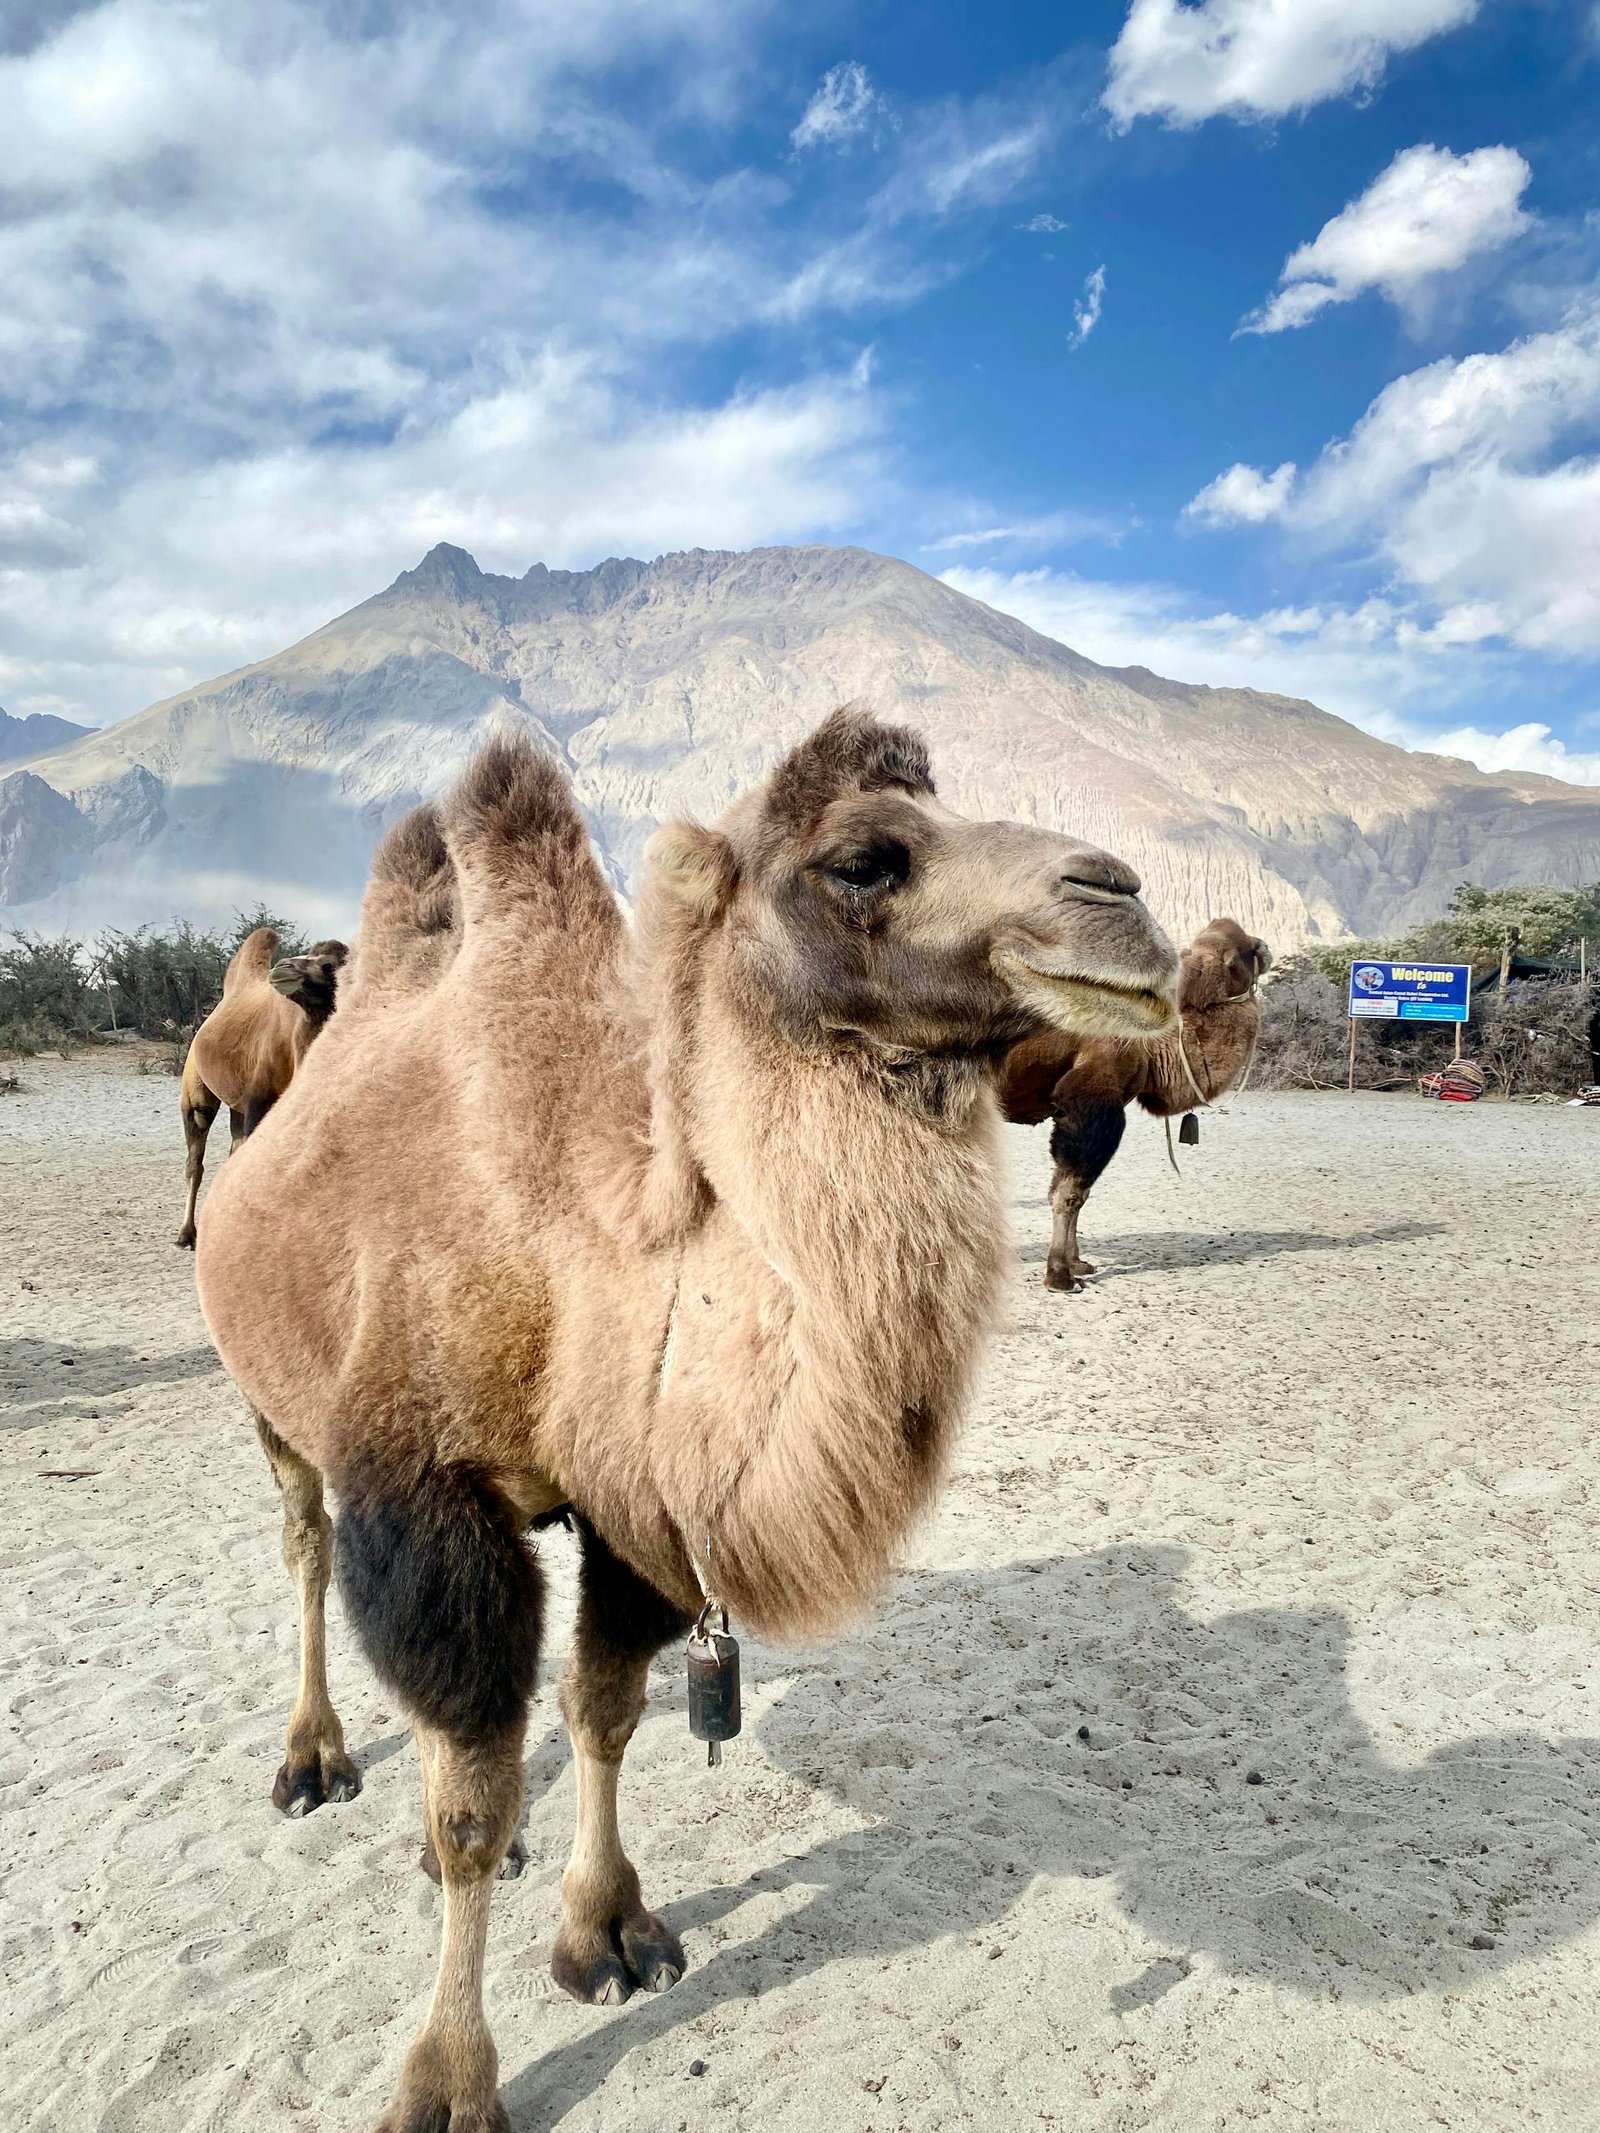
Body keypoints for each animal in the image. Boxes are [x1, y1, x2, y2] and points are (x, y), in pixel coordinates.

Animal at [175, 928, 347, 1248]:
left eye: (328, 965)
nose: (283, 967)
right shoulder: (260, 1097)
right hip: (196, 1088)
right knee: (196, 1155)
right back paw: (186, 1234)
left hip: (237, 1107)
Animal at [193, 709, 1178, 2133]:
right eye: (863, 859)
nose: (1123, 900)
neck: (586, 1246)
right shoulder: (426, 1498)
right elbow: (465, 1811)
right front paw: (447, 2078)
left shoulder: (627, 1507)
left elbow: (601, 1709)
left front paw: (607, 1931)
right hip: (271, 1398)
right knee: (310, 1549)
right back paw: (313, 1760)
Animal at [997, 916, 1272, 1292]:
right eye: (1245, 948)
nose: (1266, 947)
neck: (1153, 1045)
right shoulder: (1090, 1102)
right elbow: (1069, 1192)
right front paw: (1060, 1276)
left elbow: (1073, 1191)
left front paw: (1078, 1263)